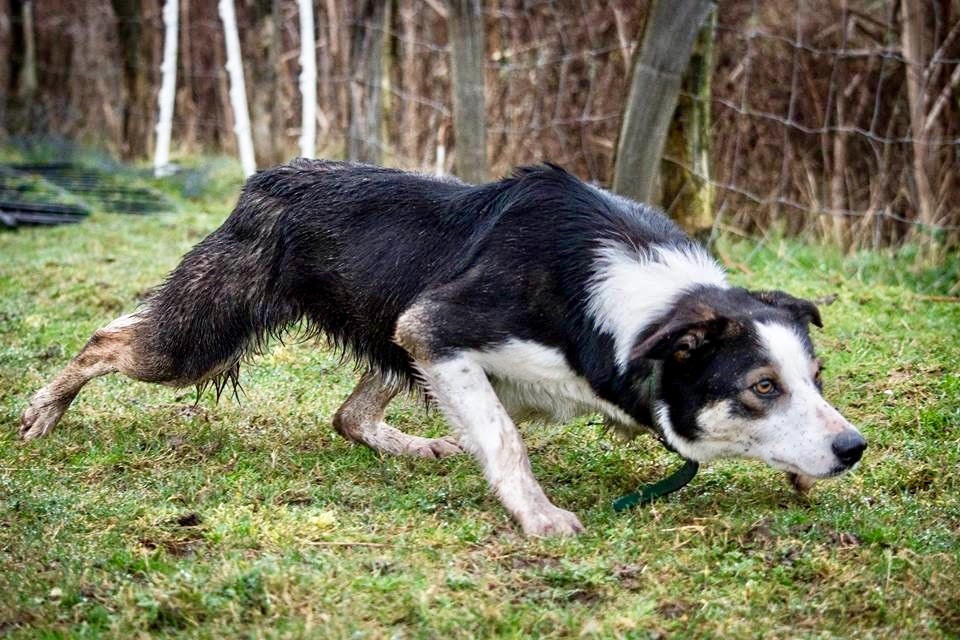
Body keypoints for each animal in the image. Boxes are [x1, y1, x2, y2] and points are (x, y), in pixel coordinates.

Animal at [20, 160, 864, 536]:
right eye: (761, 386)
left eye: (815, 377)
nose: (854, 447)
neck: (637, 302)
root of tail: (268, 178)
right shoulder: (437, 329)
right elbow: (505, 439)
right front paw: (540, 517)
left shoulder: (428, 343)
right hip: (204, 337)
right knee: (107, 336)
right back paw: (42, 411)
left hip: (386, 335)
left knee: (349, 415)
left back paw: (415, 445)